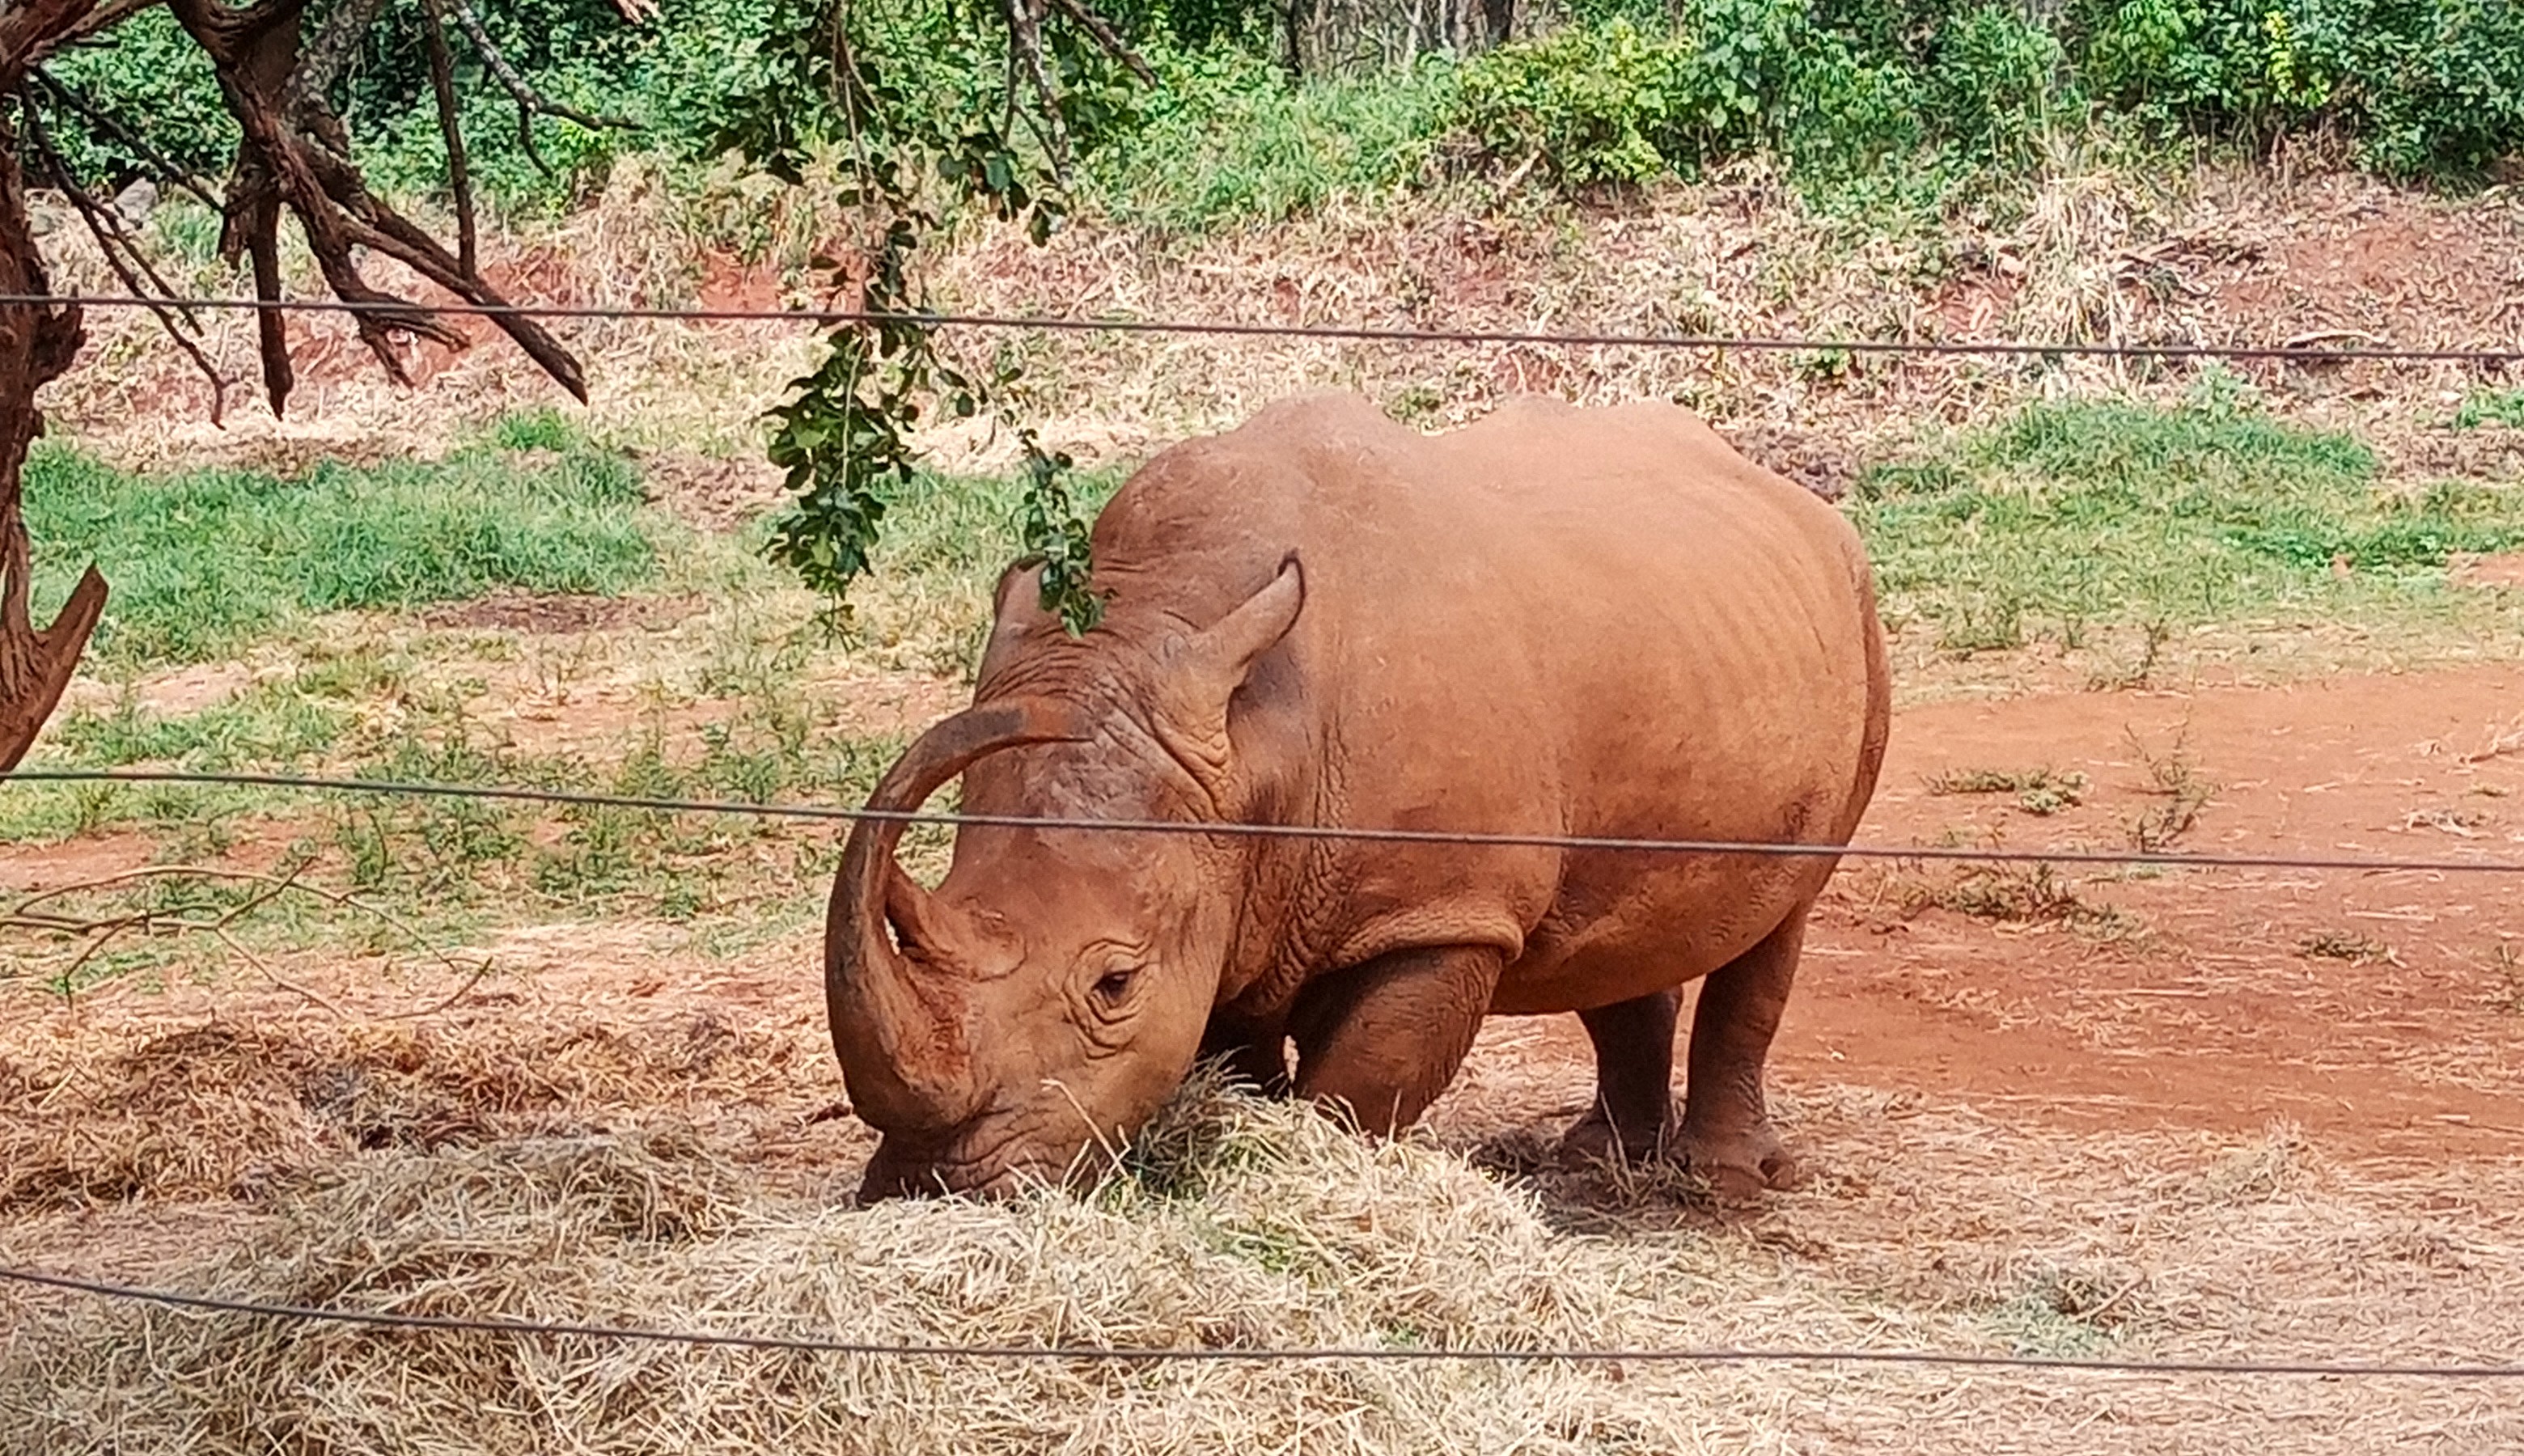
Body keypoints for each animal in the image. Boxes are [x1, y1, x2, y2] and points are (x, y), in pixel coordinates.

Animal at [827, 392, 1890, 1202]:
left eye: (1114, 984)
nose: (931, 1186)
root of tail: (1792, 496)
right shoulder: (1229, 871)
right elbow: (1237, 1053)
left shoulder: (1440, 911)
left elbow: (1357, 1089)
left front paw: (1305, 1174)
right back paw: (1600, 1164)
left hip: (1857, 608)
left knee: (1783, 914)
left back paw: (1727, 1185)